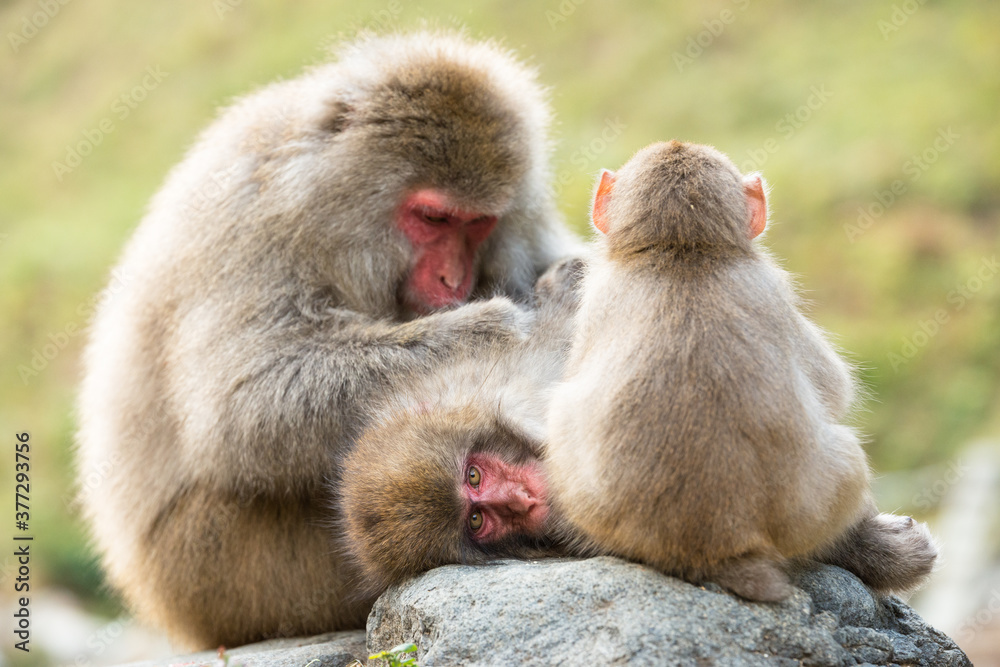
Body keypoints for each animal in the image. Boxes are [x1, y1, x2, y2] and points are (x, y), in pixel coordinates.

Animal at [76, 32, 580, 652]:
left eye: (478, 224)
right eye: (433, 217)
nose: (453, 280)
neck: (319, 199)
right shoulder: (251, 227)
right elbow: (242, 411)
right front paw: (502, 324)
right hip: (240, 571)